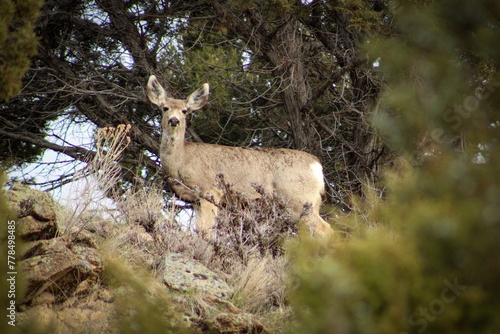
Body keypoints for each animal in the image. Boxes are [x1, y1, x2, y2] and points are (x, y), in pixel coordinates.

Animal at [147, 75, 332, 237]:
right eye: (165, 108)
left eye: (185, 111)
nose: (174, 120)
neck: (182, 160)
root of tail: (317, 165)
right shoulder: (195, 200)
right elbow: (199, 231)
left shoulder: (211, 191)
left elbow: (207, 233)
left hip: (299, 199)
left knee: (326, 230)